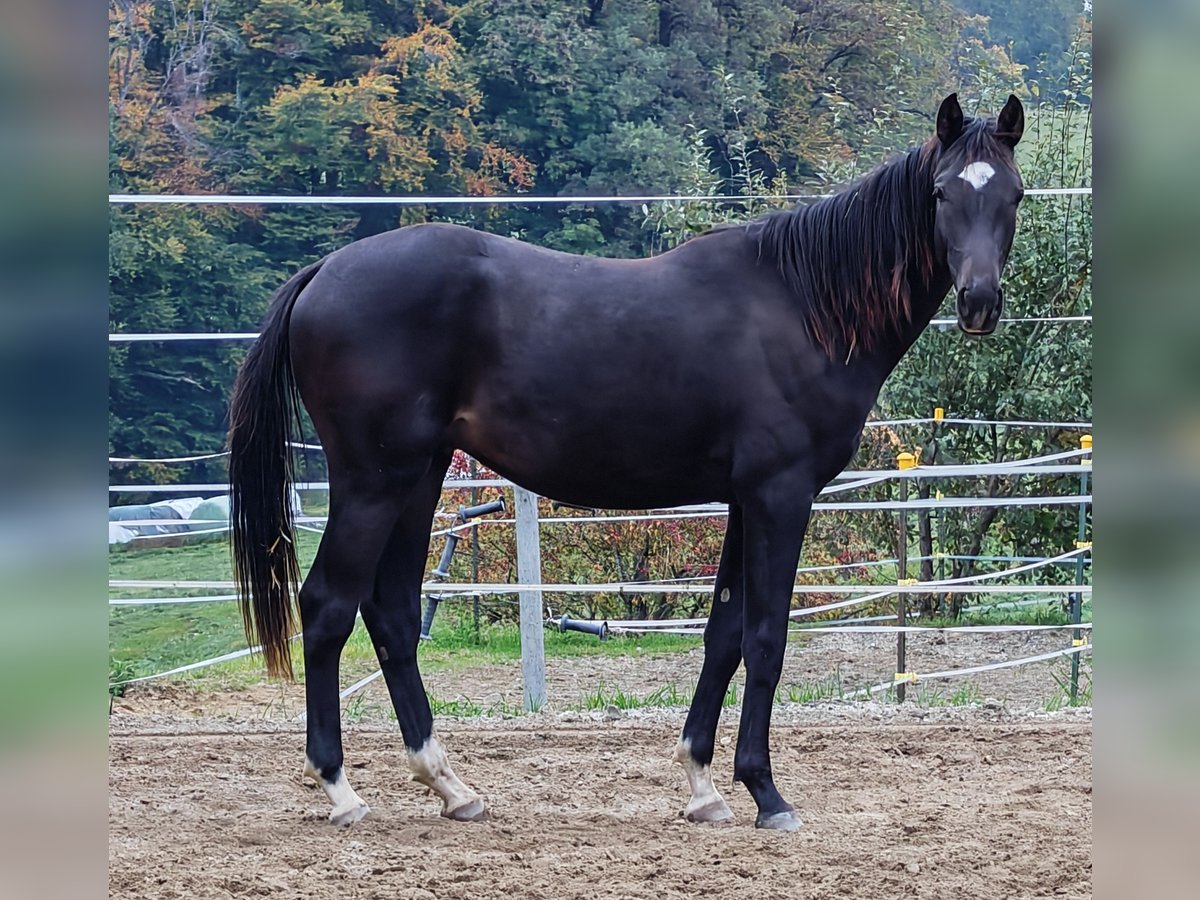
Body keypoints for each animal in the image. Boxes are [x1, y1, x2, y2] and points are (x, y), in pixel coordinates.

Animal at [228, 92, 1025, 831]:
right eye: (942, 193)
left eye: (1013, 194)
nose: (980, 302)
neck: (803, 306)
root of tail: (325, 271)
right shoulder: (780, 495)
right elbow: (767, 638)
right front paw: (766, 793)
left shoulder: (744, 499)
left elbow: (724, 634)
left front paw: (703, 785)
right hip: (373, 483)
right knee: (327, 608)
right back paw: (340, 789)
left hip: (417, 479)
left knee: (391, 615)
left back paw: (451, 787)